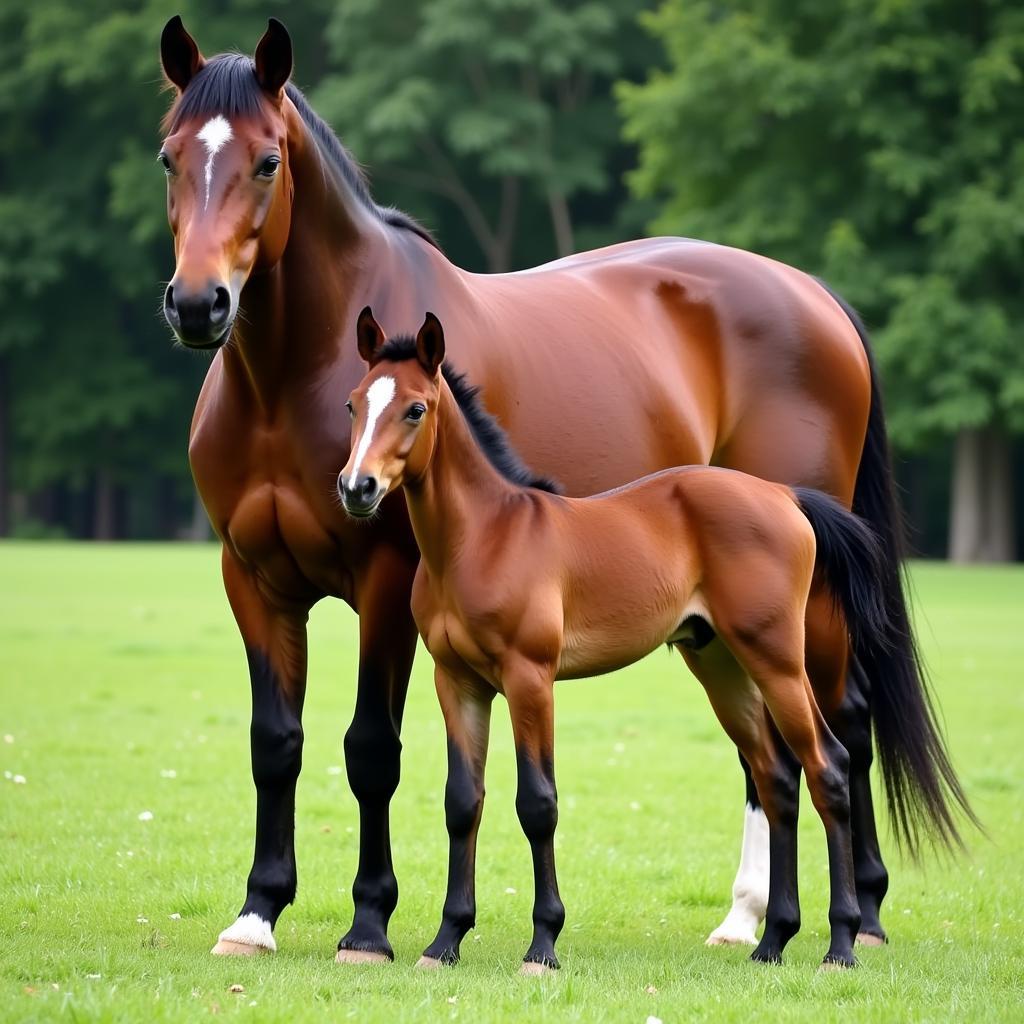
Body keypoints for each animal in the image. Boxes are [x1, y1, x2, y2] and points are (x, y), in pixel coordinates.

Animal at [335, 307, 888, 970]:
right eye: (353, 403)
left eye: (416, 408)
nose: (357, 488)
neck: (482, 538)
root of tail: (784, 496)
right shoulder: (458, 681)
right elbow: (462, 802)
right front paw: (445, 941)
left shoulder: (530, 678)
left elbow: (537, 803)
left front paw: (543, 945)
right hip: (721, 666)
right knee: (777, 777)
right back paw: (772, 940)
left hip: (778, 659)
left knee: (827, 766)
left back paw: (841, 943)